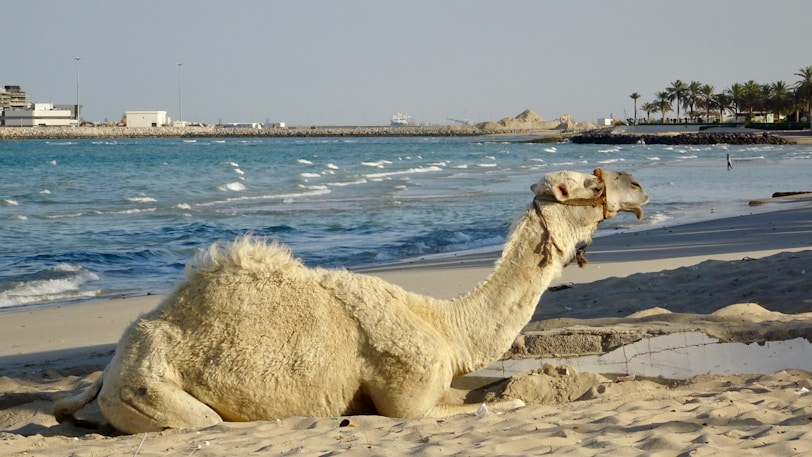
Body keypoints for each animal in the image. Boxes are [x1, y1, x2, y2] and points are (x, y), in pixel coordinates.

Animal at [54, 168, 648, 434]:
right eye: (592, 184)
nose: (638, 187)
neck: (444, 326)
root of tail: (113, 367)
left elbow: (498, 389)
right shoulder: (408, 399)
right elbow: (500, 404)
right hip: (148, 390)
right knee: (203, 421)